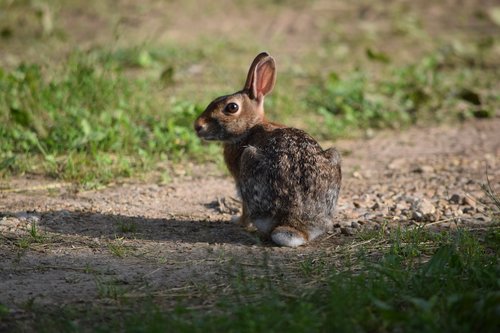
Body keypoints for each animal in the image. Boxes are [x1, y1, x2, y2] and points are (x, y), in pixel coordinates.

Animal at [193, 52, 342, 246]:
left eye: (232, 107)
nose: (197, 126)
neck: (250, 128)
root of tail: (295, 224)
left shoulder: (239, 181)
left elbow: (244, 208)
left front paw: (236, 221)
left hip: (248, 162)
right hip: (334, 158)